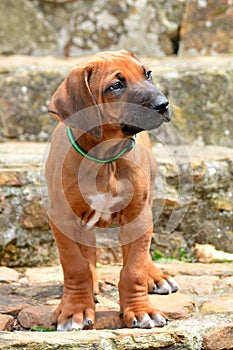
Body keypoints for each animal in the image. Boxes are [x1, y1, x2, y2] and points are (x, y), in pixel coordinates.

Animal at [46, 50, 178, 330]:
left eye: (147, 74)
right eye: (116, 85)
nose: (163, 104)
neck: (105, 159)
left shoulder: (138, 217)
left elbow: (134, 268)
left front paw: (141, 310)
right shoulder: (62, 218)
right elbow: (75, 265)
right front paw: (74, 309)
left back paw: (155, 276)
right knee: (87, 251)